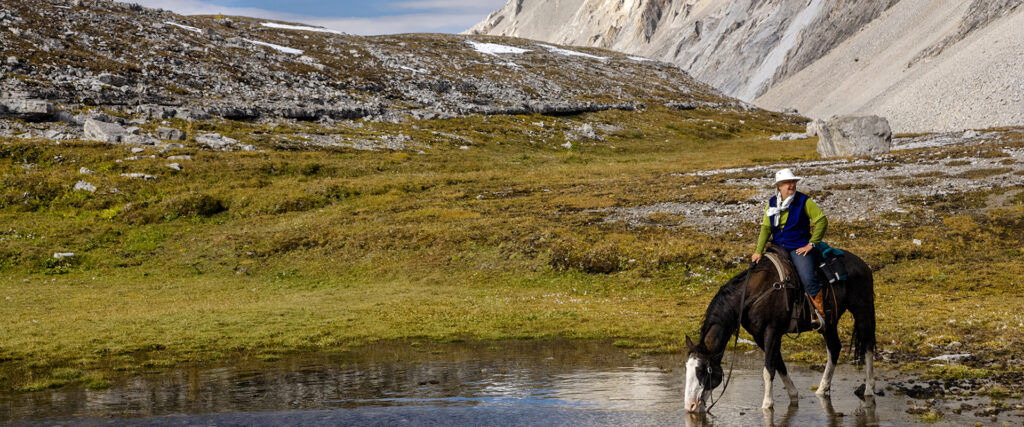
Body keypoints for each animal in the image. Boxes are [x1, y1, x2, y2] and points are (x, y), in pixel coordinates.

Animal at [684, 249, 876, 409]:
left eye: (702, 370)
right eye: (687, 368)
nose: (690, 406)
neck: (752, 294)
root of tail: (862, 264)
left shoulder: (772, 331)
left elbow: (768, 368)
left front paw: (767, 404)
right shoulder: (759, 336)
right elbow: (779, 364)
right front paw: (793, 394)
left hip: (862, 311)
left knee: (868, 346)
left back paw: (869, 389)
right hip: (829, 323)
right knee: (834, 348)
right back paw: (822, 390)